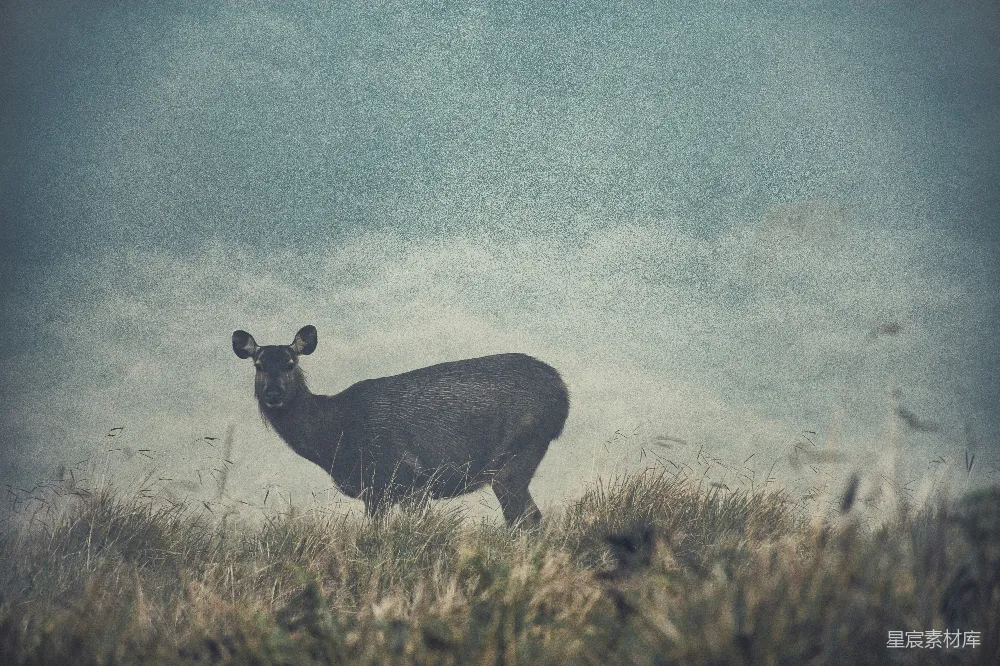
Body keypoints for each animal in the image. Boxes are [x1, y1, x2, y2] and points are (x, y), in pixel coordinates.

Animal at [231, 326, 569, 526]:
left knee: (526, 518)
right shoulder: (376, 491)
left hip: (518, 451)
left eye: (291, 364)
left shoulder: (408, 476)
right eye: (259, 365)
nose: (273, 394)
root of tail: (562, 394)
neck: (334, 435)